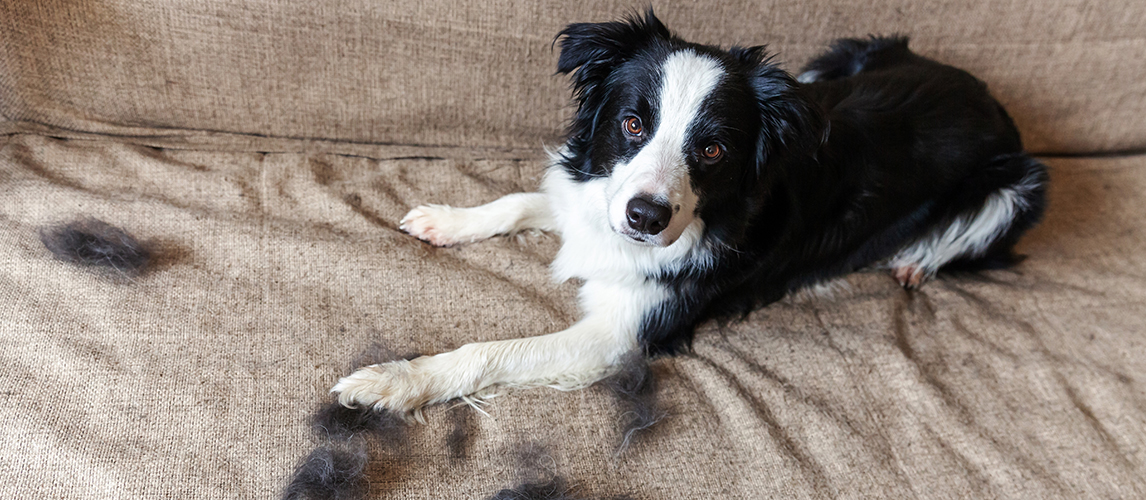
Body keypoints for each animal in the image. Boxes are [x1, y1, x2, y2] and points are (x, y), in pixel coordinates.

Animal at [332, 11, 1049, 415]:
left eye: (712, 148)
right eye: (631, 123)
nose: (646, 217)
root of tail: (991, 97)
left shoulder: (621, 333)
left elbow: (496, 351)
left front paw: (394, 382)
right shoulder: (599, 198)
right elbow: (523, 200)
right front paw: (445, 221)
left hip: (1020, 186)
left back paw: (914, 262)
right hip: (841, 56)